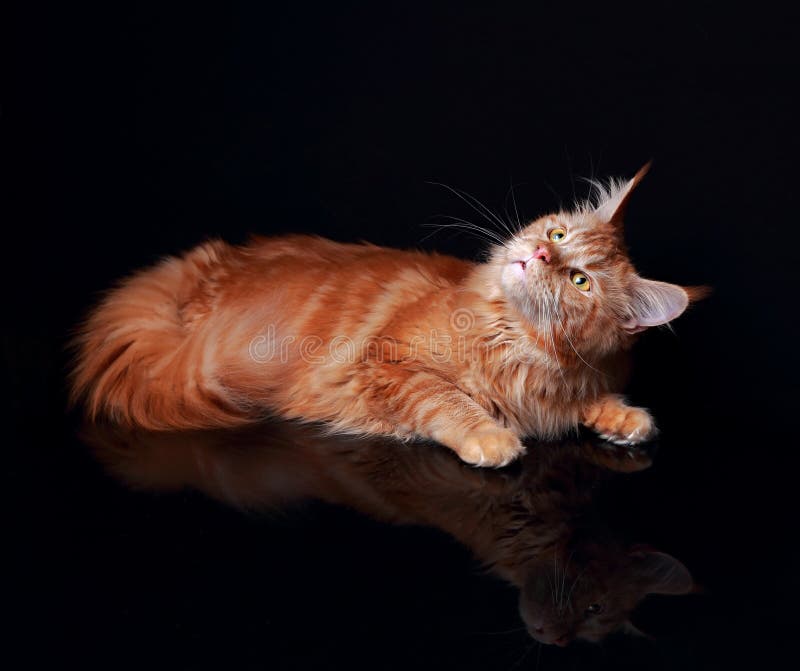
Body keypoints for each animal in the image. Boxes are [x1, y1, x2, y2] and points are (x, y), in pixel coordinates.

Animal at [72, 165, 704, 464]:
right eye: (557, 235)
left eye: (580, 281)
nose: (541, 255)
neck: (512, 344)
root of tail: (198, 266)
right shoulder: (386, 361)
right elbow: (446, 400)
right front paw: (491, 438)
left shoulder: (573, 382)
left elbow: (590, 399)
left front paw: (622, 419)